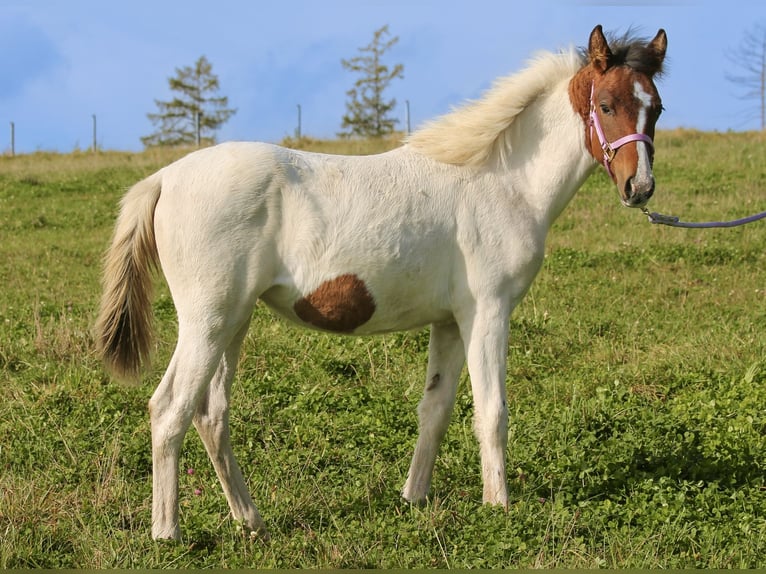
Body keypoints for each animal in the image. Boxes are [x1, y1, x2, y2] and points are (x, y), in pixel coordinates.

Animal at [96, 24, 668, 544]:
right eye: (607, 104)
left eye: (656, 108)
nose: (639, 188)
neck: (503, 180)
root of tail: (166, 178)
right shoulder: (488, 313)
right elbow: (492, 412)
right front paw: (499, 506)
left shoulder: (451, 323)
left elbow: (435, 410)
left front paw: (413, 498)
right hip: (208, 322)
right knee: (170, 410)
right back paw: (167, 532)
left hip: (234, 322)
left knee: (211, 414)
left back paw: (251, 521)